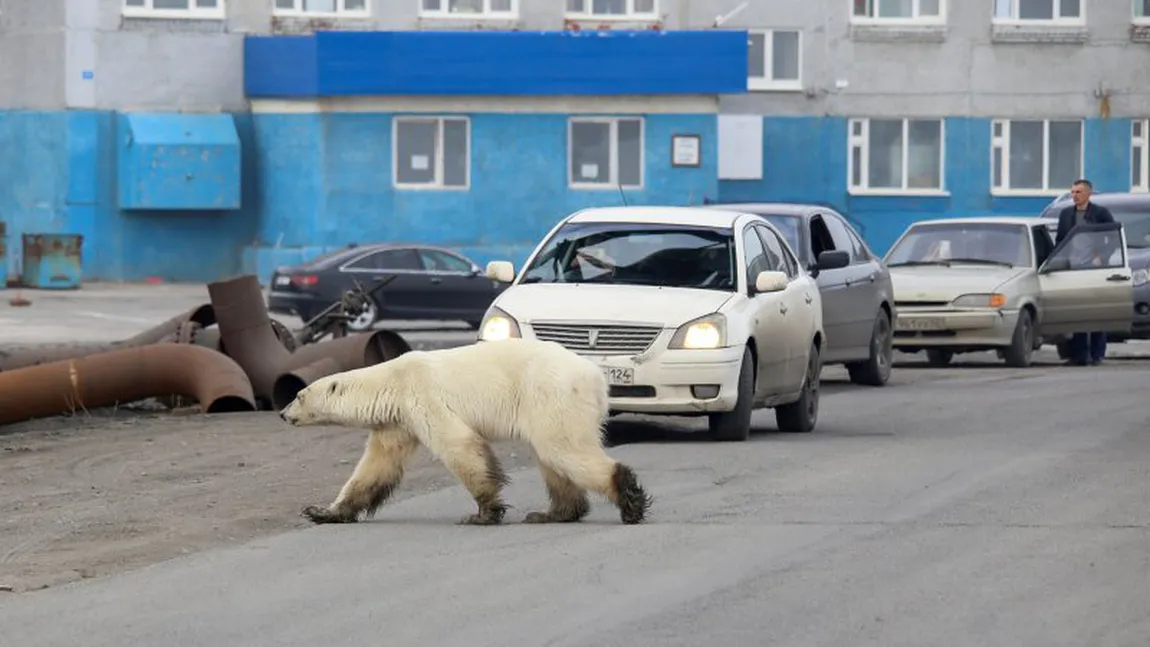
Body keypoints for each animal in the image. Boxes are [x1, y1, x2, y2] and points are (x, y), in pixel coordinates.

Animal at [278, 340, 653, 526]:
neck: (391, 381)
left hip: (551, 394)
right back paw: (552, 513)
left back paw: (629, 501)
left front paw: (482, 514)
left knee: (563, 450)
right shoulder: (397, 422)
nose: (282, 414)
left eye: (298, 395)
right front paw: (323, 512)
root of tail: (596, 375)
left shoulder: (423, 396)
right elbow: (375, 467)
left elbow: (460, 446)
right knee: (552, 459)